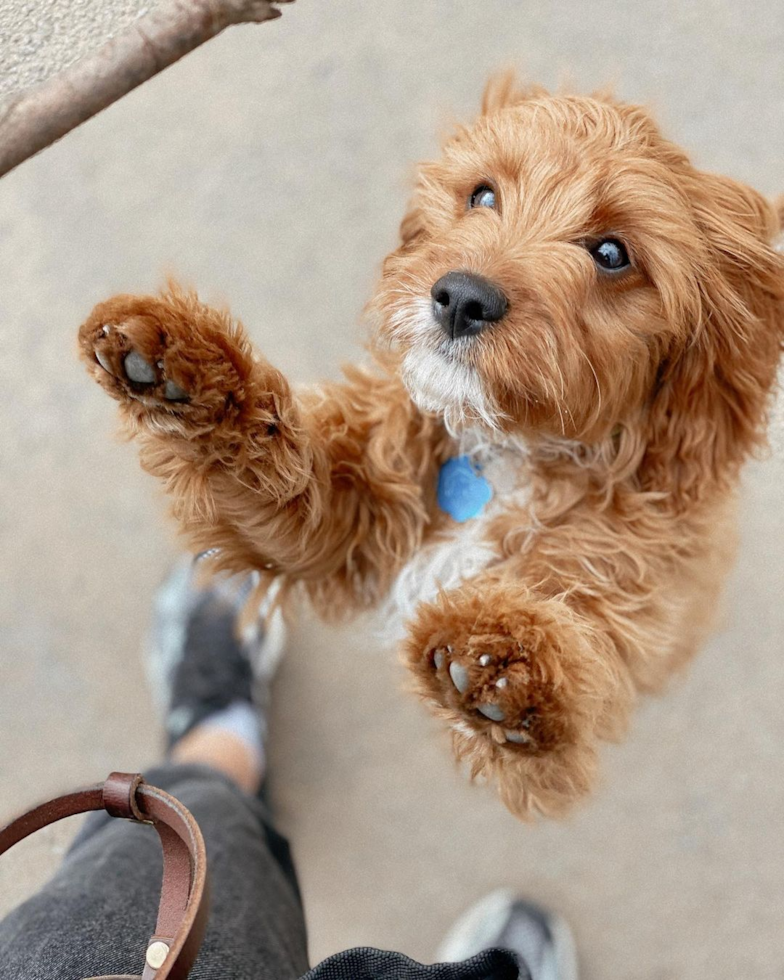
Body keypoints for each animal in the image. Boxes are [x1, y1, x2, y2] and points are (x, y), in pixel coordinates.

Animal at [81, 76, 784, 816]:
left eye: (613, 253)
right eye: (483, 195)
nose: (463, 297)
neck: (502, 453)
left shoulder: (625, 587)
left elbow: (576, 639)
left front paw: (505, 662)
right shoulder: (343, 513)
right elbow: (292, 486)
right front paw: (187, 368)